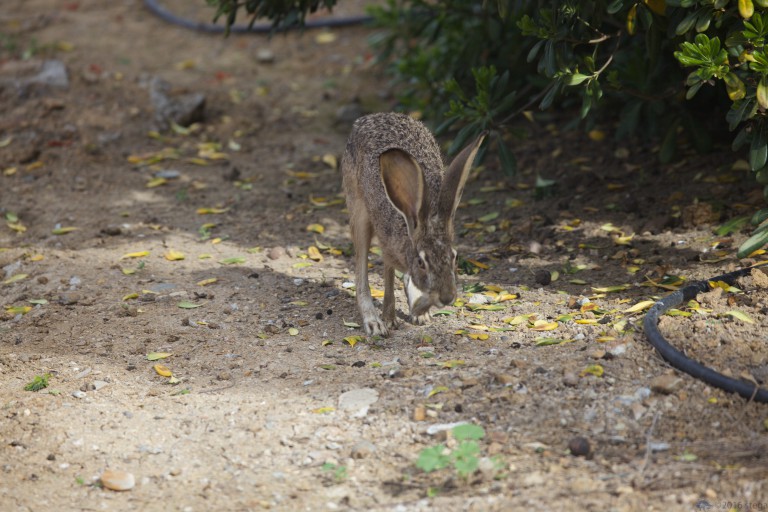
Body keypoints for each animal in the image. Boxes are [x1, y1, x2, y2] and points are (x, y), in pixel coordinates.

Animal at [341, 112, 486, 337]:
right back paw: (374, 323)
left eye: (454, 257)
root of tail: (370, 117)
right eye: (421, 262)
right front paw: (388, 320)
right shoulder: (388, 245)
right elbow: (388, 276)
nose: (447, 297)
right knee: (362, 265)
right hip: (358, 208)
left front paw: (420, 313)